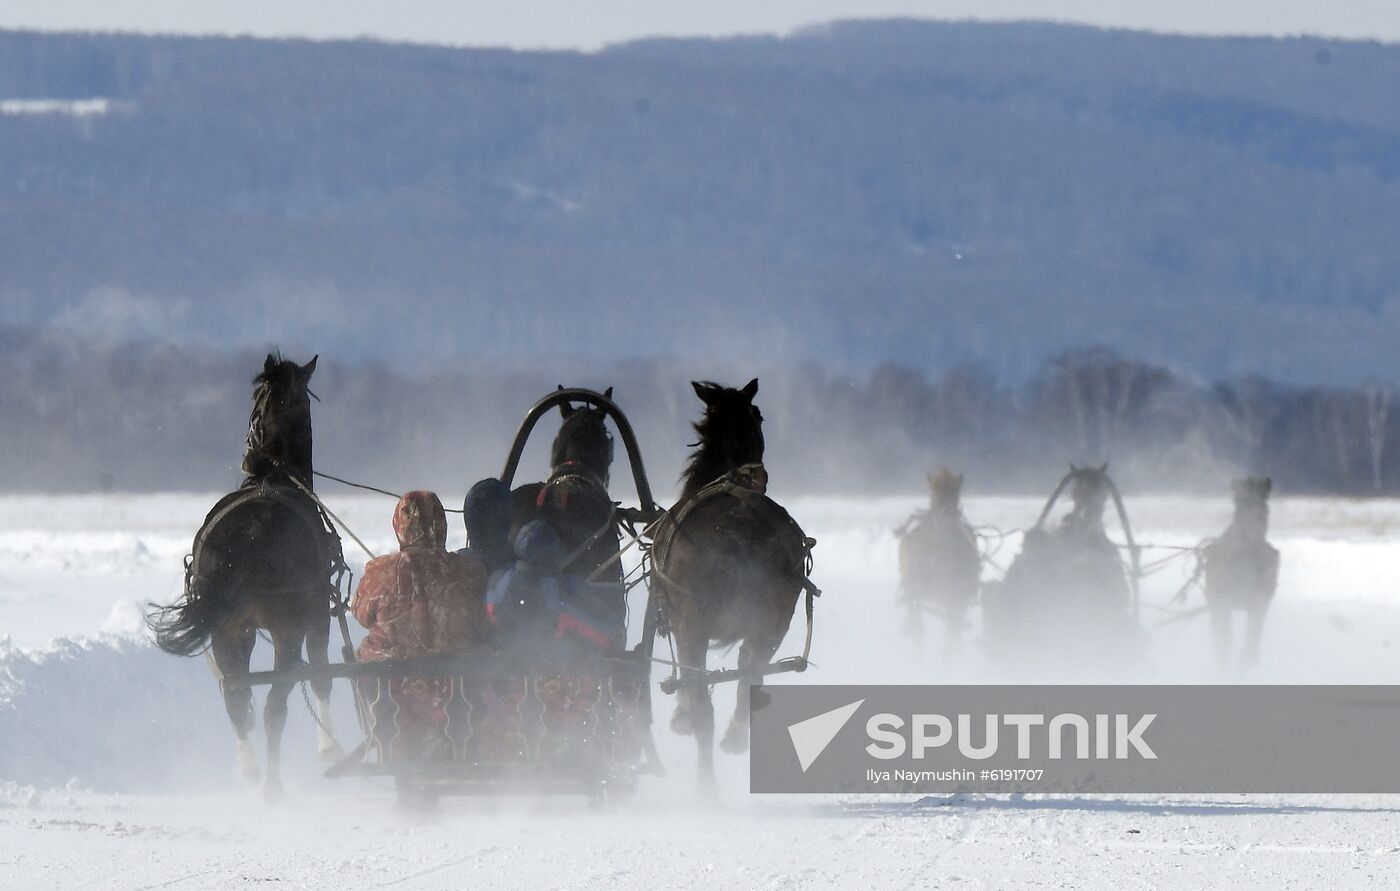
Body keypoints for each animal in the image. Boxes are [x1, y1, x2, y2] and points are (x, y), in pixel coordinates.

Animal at [147, 354, 344, 799]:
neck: (274, 475)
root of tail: (254, 530)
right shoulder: (317, 616)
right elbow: (322, 675)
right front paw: (329, 746)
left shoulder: (243, 627)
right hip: (287, 628)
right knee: (275, 702)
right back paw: (272, 786)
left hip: (228, 629)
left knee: (236, 697)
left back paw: (251, 769)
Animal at [650, 379, 814, 788]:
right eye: (759, 415)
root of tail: (736, 533)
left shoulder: (680, 624)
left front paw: (680, 717)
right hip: (772, 621)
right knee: (748, 676)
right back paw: (736, 737)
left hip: (693, 625)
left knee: (703, 700)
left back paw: (707, 783)